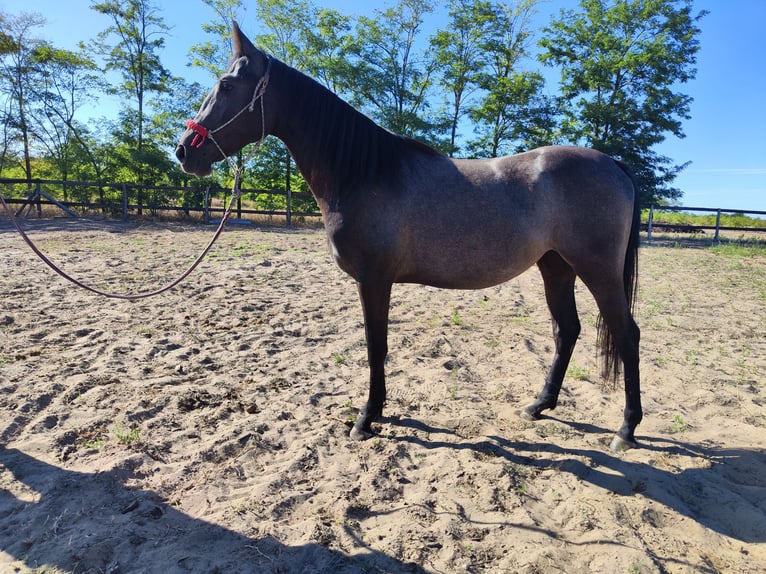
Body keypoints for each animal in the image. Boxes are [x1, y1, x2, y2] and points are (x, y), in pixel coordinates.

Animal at [175, 23, 642, 452]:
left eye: (226, 85)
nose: (184, 151)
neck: (363, 173)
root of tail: (614, 165)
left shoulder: (374, 280)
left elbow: (375, 345)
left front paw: (367, 418)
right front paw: (376, 411)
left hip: (597, 271)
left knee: (626, 334)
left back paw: (625, 430)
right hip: (556, 267)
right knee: (567, 330)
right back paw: (539, 405)